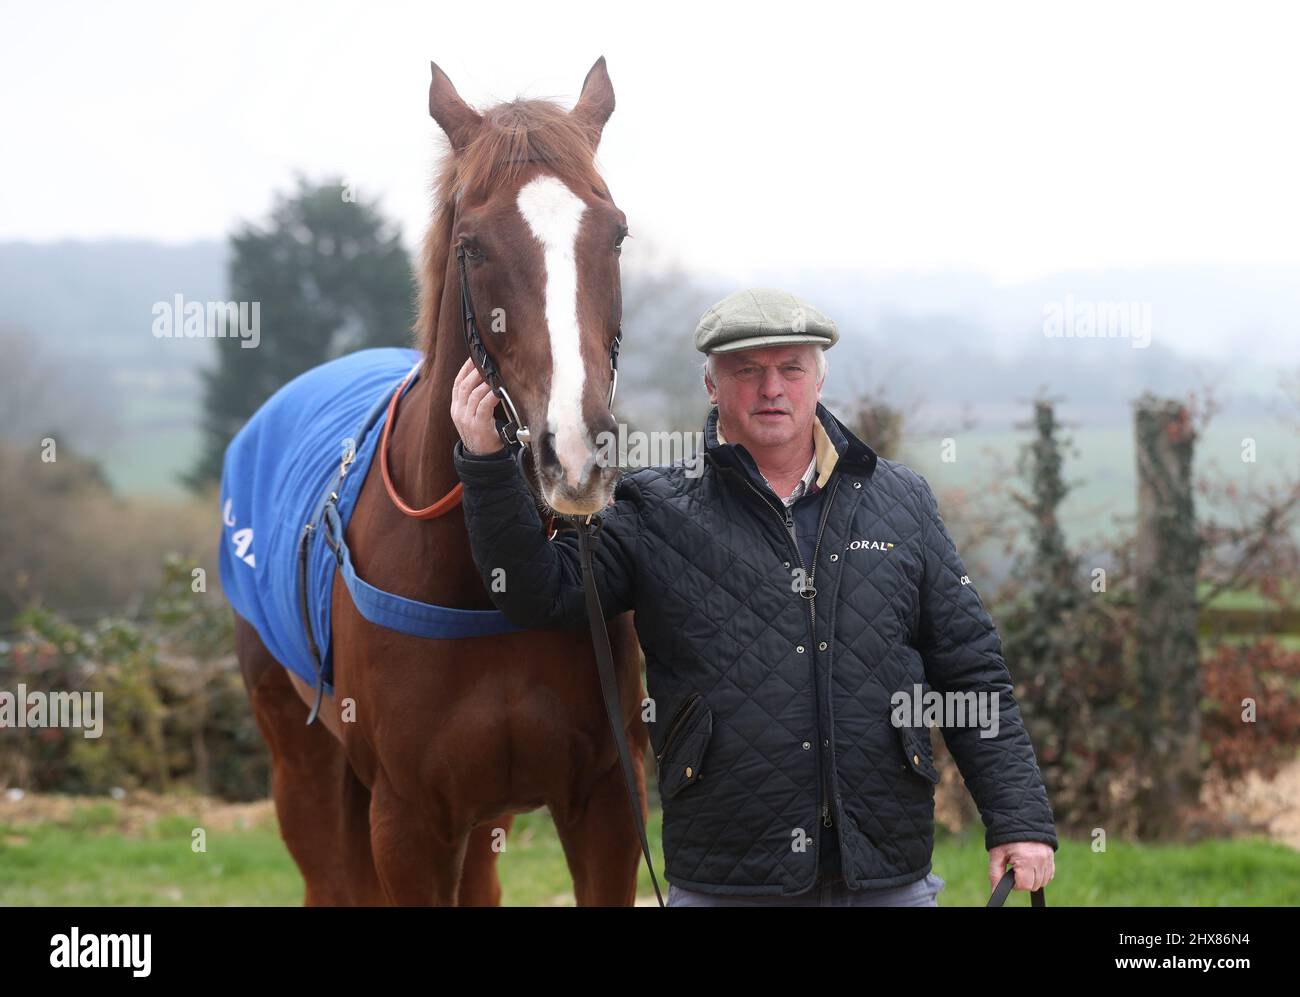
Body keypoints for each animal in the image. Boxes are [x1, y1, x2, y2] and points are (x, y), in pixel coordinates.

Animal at [231, 58, 647, 909]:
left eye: (615, 232)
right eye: (472, 245)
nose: (575, 453)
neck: (485, 578)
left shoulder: (606, 805)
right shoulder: (409, 822)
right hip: (303, 772)